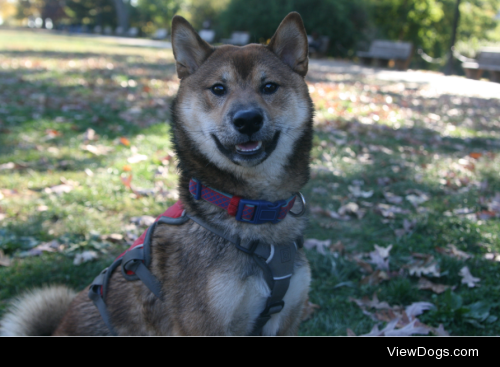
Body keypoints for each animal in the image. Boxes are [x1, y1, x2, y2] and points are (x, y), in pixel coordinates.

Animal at [0, 11, 312, 336]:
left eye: (269, 87)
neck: (252, 210)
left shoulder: (287, 319)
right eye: (218, 89)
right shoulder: (204, 325)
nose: (247, 119)